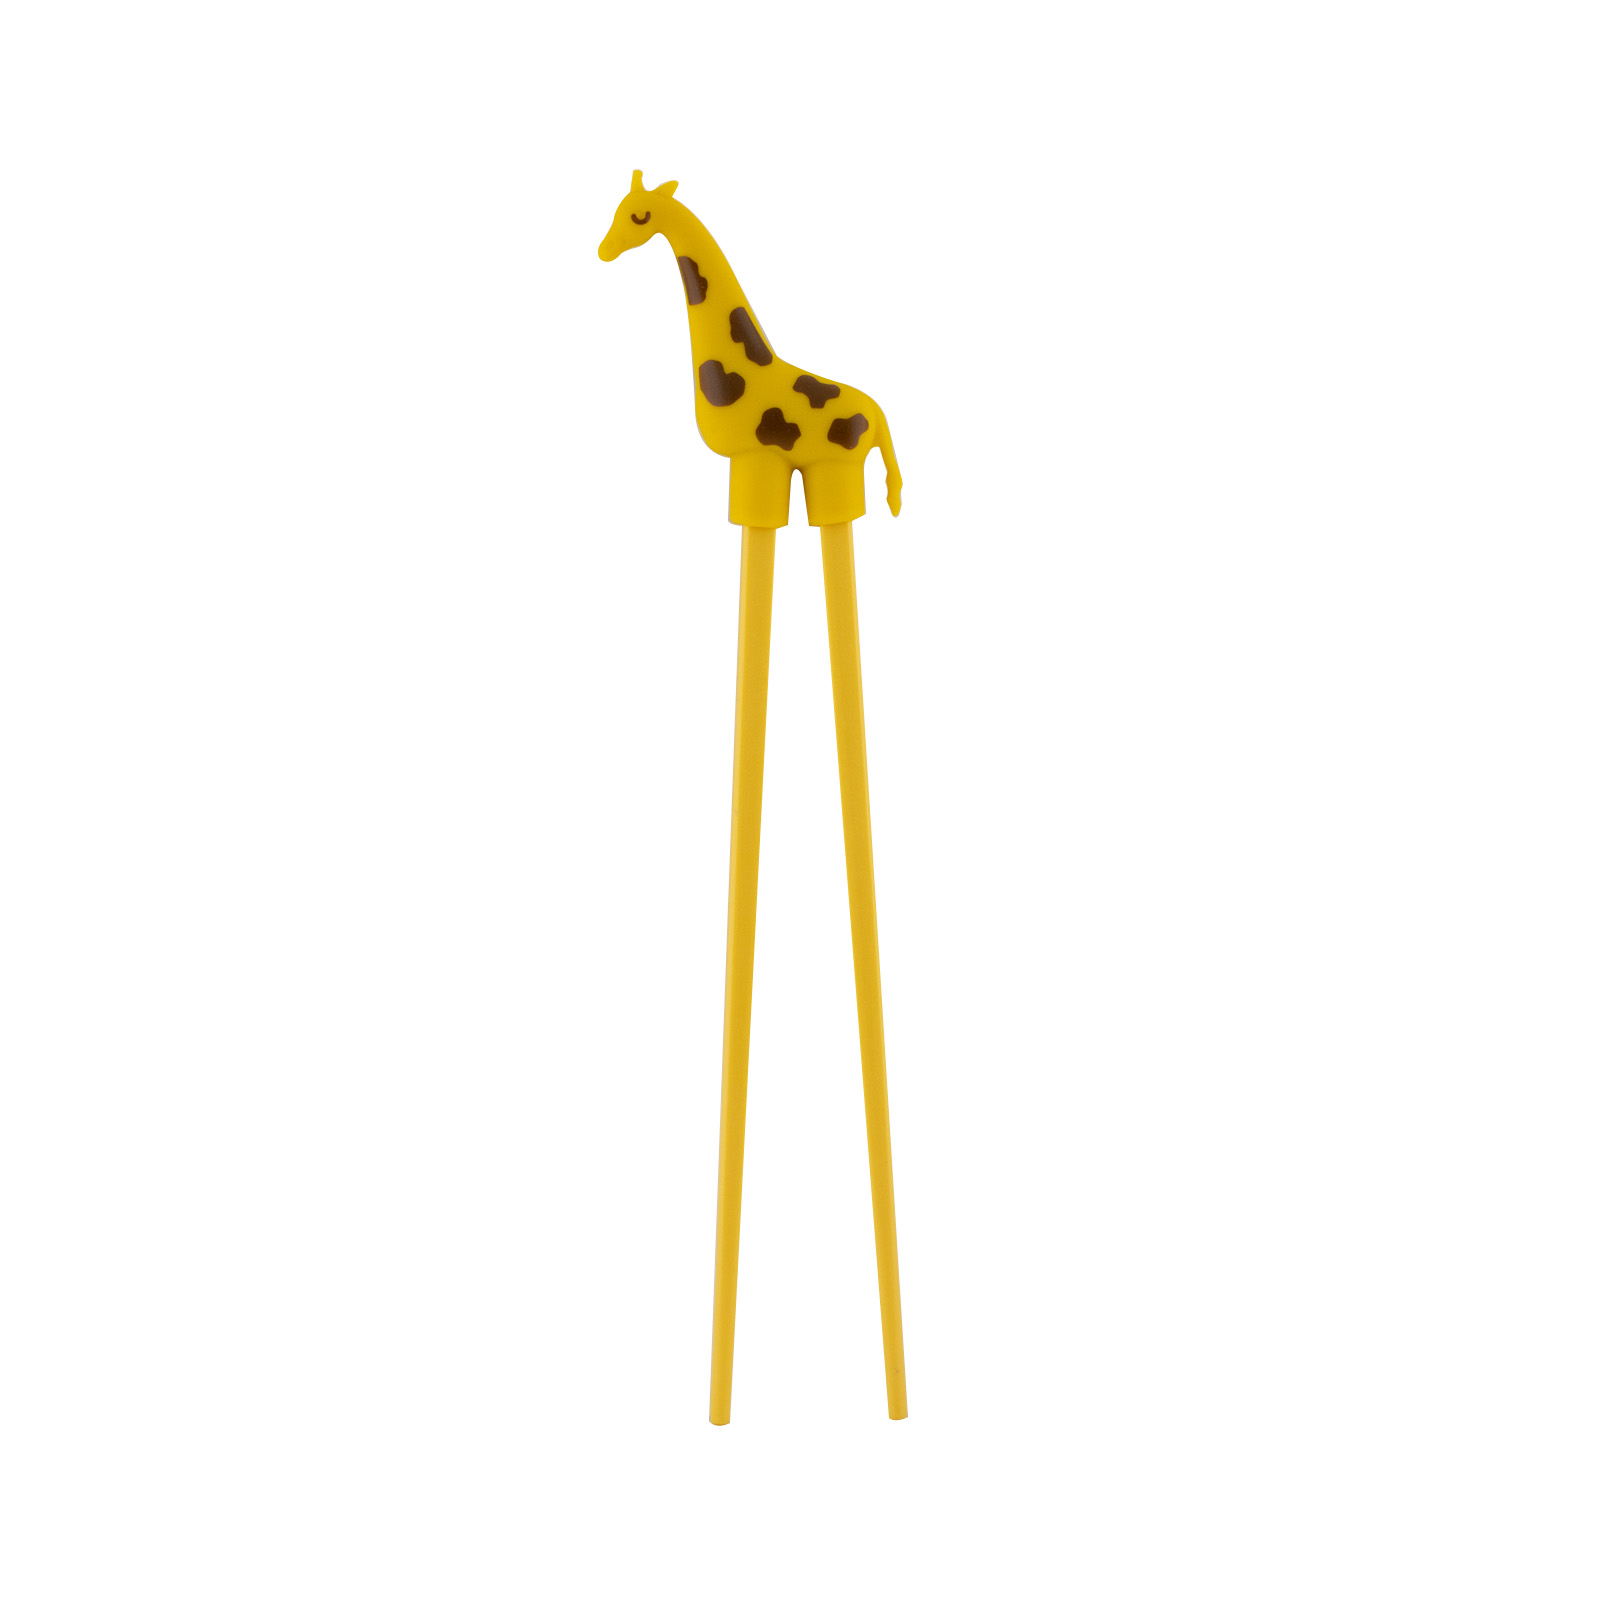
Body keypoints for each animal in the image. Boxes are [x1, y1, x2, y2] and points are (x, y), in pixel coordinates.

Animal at [598, 171, 903, 530]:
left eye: (640, 217)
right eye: (616, 211)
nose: (604, 250)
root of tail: (878, 415)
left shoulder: (756, 456)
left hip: (837, 464)